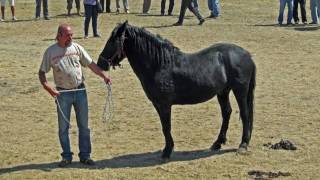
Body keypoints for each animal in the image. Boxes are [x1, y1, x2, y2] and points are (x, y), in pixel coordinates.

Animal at [96, 21, 256, 160]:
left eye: (113, 41)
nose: (100, 63)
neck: (160, 65)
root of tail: (247, 54)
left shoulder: (164, 104)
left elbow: (166, 127)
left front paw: (167, 151)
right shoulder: (157, 104)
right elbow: (164, 127)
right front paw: (168, 149)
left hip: (240, 90)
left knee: (245, 114)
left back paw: (243, 144)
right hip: (223, 92)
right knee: (226, 113)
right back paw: (217, 143)